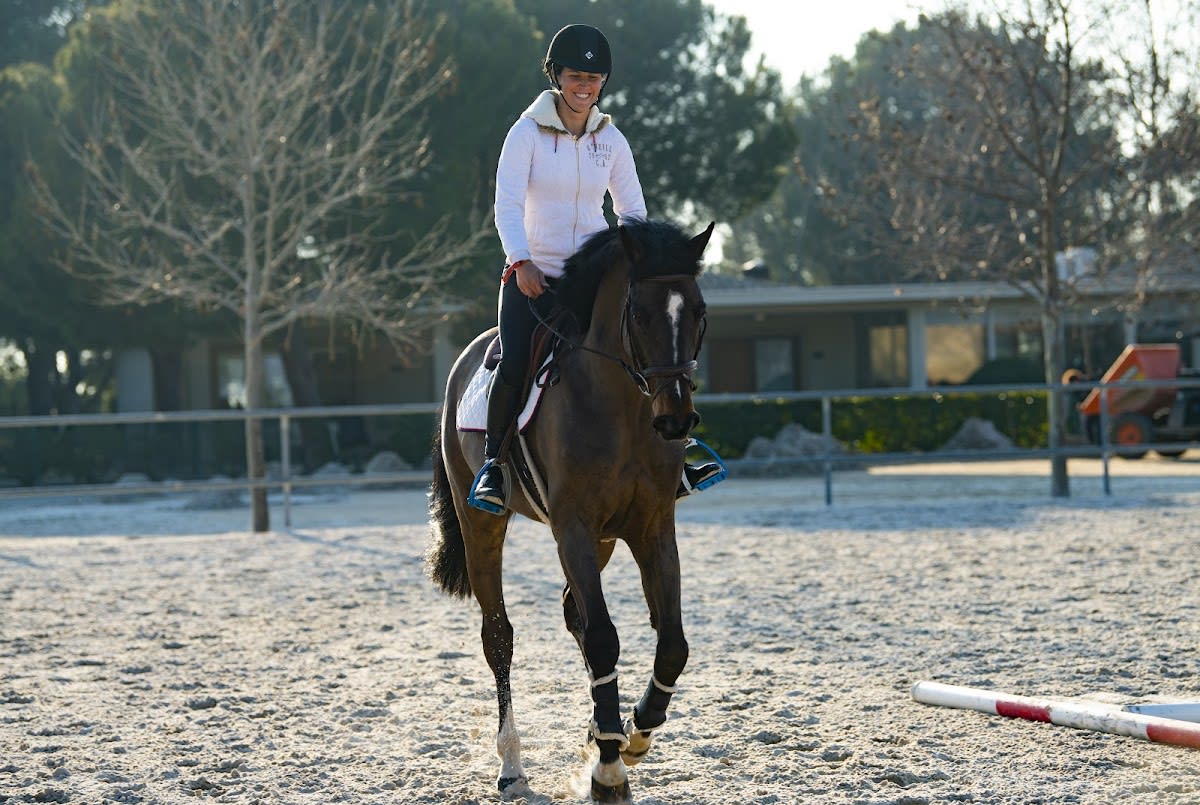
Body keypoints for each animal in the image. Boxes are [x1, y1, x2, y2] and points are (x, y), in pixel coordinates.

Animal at [426, 218, 715, 804]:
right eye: (639, 313)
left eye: (698, 312)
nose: (676, 420)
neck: (624, 407)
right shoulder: (573, 529)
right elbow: (604, 640)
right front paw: (608, 772)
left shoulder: (652, 528)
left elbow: (672, 644)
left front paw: (630, 737)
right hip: (484, 526)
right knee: (499, 636)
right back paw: (513, 767)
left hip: (602, 541)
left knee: (572, 613)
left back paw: (602, 732)